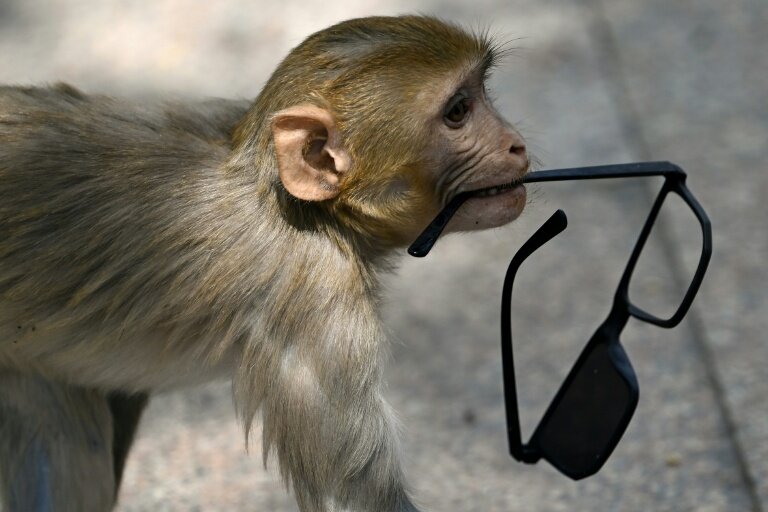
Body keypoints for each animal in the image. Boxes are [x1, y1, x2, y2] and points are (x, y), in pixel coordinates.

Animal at [0, 15, 529, 512]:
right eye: (458, 112)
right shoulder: (319, 299)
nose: (516, 144)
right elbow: (353, 499)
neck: (305, 210)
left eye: (481, 93)